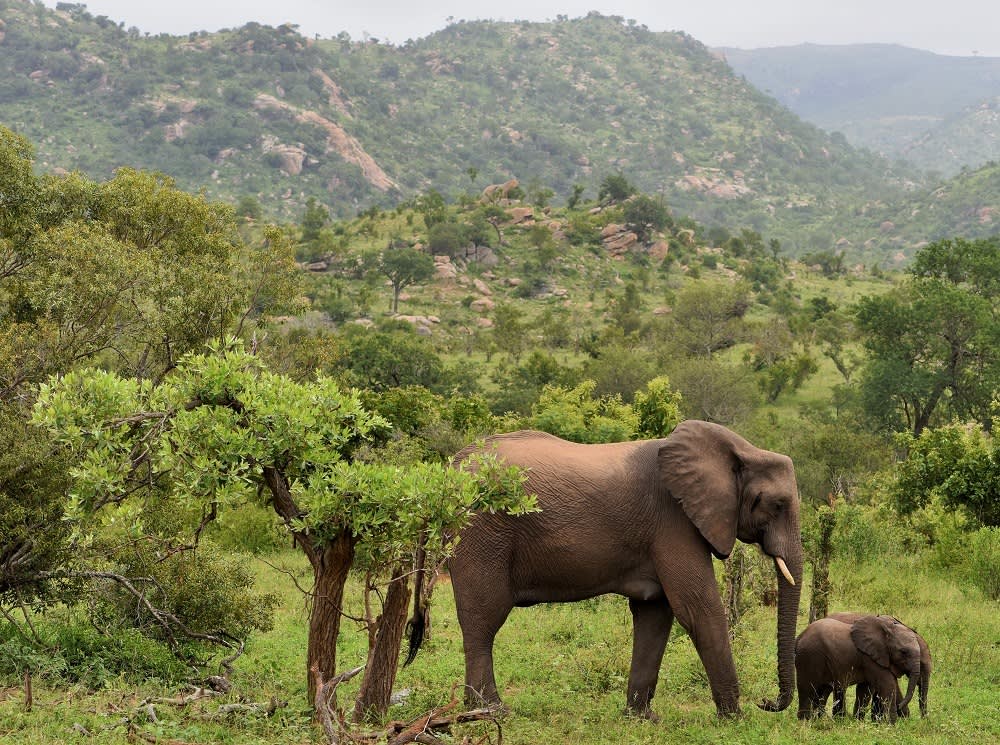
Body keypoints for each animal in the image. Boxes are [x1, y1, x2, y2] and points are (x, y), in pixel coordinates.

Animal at [422, 422, 804, 716]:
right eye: (777, 504)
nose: (767, 703)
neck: (740, 450)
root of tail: (452, 465)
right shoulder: (674, 521)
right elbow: (698, 607)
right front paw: (734, 719)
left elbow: (655, 613)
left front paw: (641, 718)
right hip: (480, 533)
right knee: (483, 619)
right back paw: (490, 712)